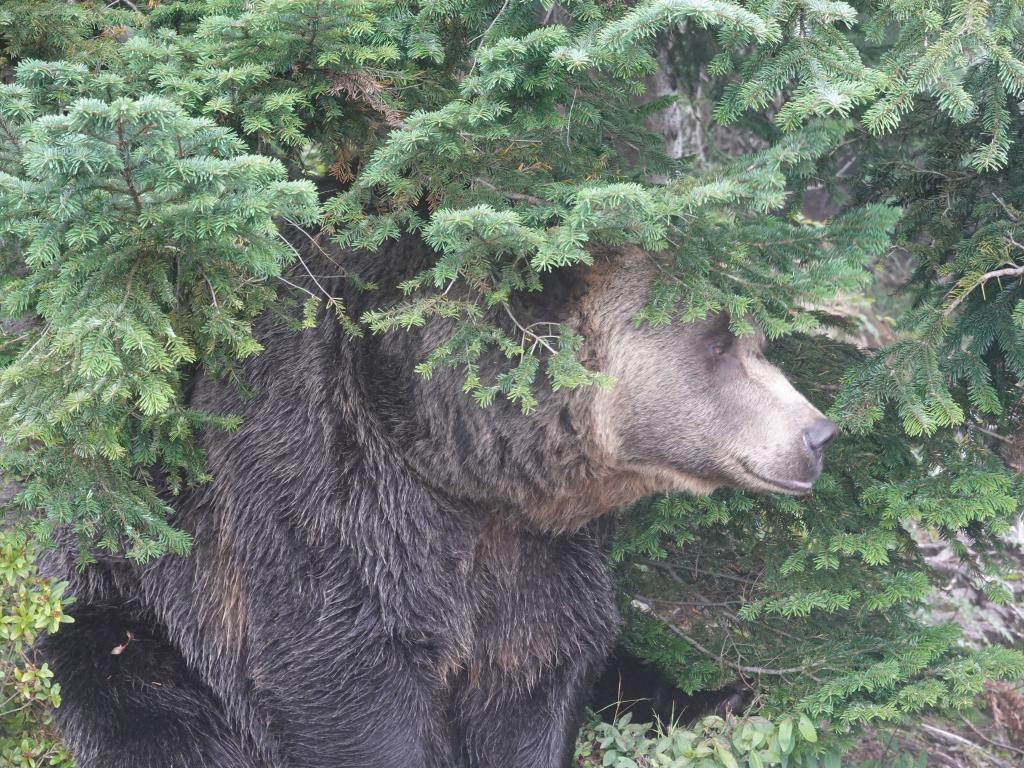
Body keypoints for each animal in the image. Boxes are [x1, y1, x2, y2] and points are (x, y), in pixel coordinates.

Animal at [39, 234, 835, 768]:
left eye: (758, 339)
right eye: (717, 343)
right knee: (153, 715)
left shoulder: (532, 553)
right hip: (124, 592)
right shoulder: (330, 504)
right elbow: (342, 682)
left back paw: (723, 700)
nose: (818, 434)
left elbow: (537, 673)